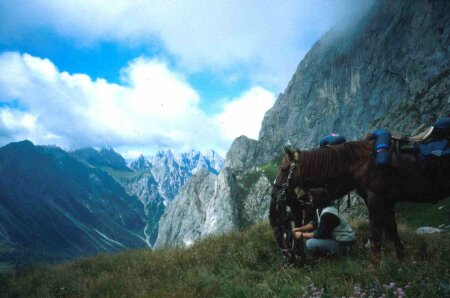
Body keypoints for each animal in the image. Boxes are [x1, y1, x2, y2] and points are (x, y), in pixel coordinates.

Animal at [270, 139, 450, 262]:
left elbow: (376, 232)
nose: (274, 192)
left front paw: (374, 265)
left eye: (284, 169)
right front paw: (401, 258)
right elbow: (392, 230)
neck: (362, 164)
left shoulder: (376, 200)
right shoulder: (387, 202)